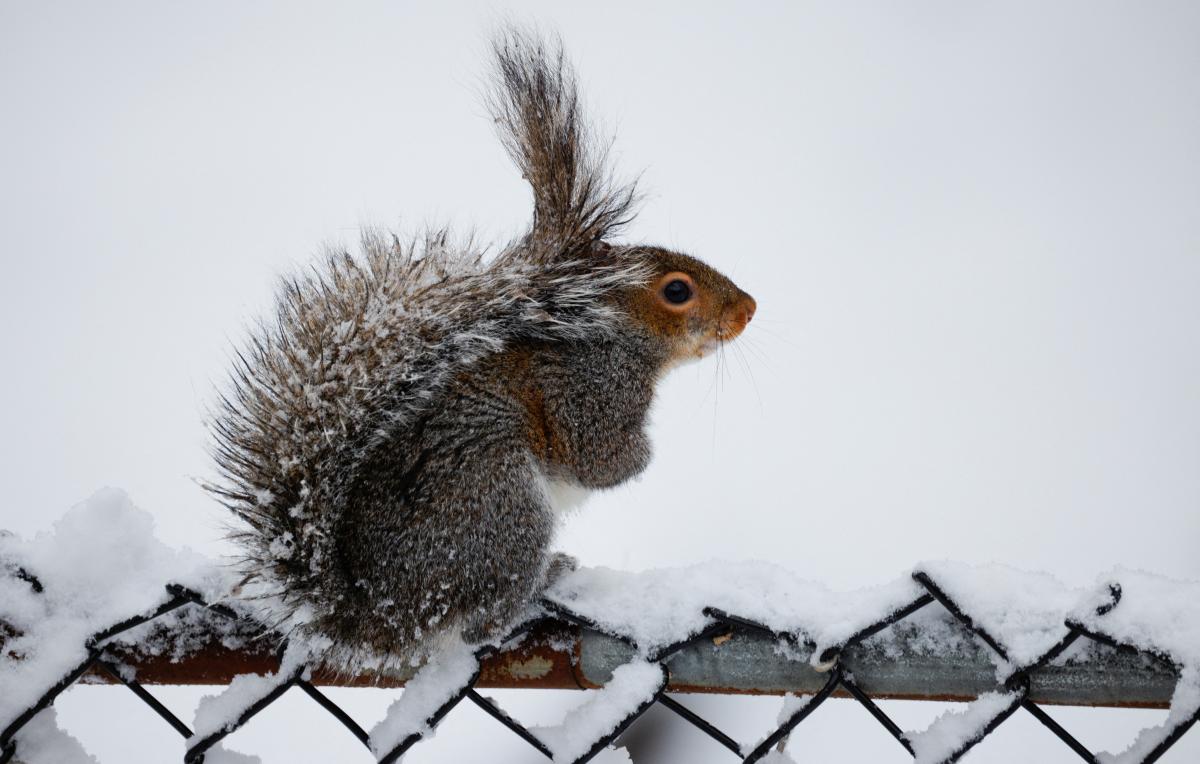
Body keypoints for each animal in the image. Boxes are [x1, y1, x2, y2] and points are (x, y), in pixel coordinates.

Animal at [205, 26, 748, 666]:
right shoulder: (591, 390)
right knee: (482, 620)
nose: (748, 309)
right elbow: (596, 461)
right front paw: (642, 459)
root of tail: (384, 615)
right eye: (677, 291)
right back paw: (542, 584)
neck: (613, 335)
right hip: (501, 501)